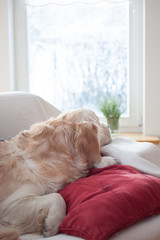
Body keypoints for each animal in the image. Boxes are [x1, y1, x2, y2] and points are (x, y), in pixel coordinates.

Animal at [0, 109, 117, 240]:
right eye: (97, 121)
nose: (109, 126)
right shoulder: (9, 205)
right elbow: (58, 197)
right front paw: (52, 223)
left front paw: (106, 161)